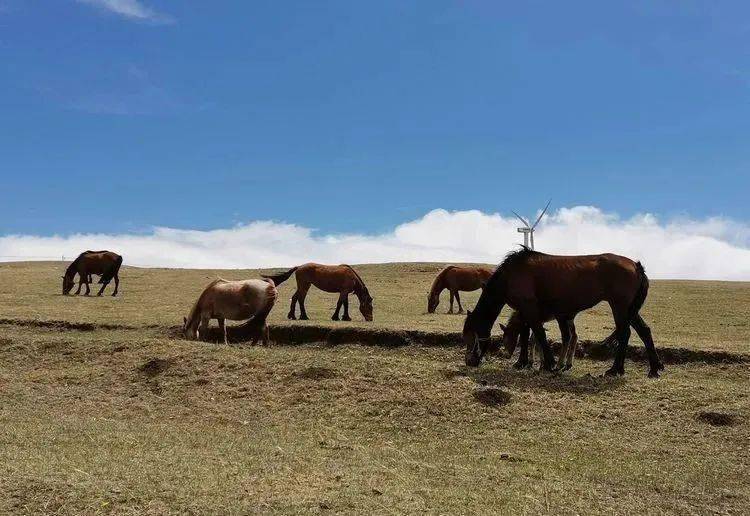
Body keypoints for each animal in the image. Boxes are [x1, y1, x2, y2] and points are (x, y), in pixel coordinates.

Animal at [464, 248, 668, 376]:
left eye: (472, 335)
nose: (469, 361)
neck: (510, 274)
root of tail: (635, 265)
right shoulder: (525, 312)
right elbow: (526, 335)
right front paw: (524, 362)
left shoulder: (529, 309)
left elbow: (537, 335)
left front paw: (549, 364)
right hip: (629, 309)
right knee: (644, 331)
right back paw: (654, 368)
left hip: (619, 306)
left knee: (625, 333)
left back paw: (615, 369)